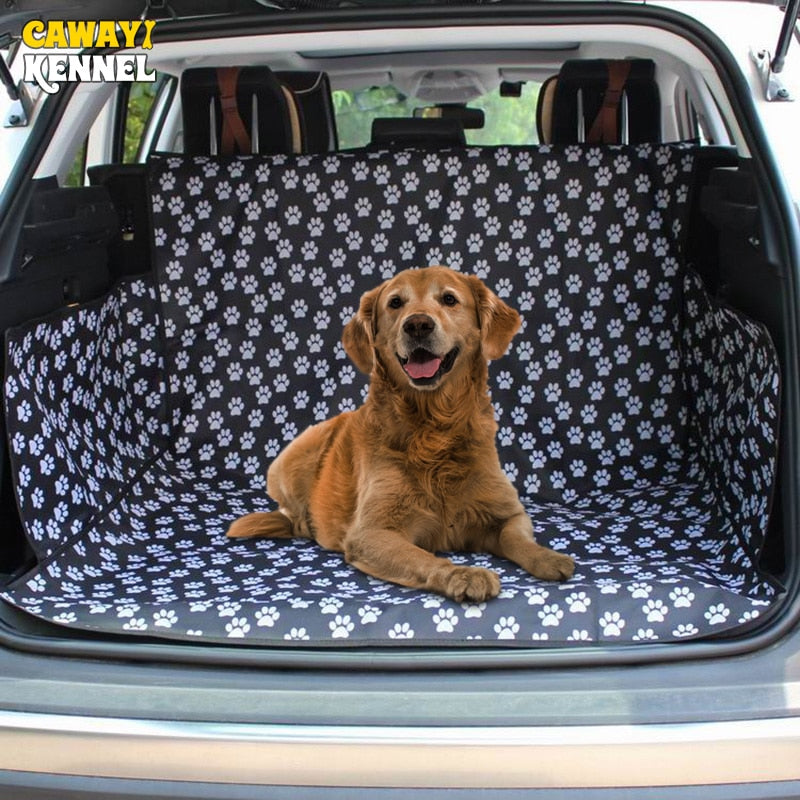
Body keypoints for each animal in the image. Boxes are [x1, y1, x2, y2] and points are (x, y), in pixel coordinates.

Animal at [227, 266, 576, 604]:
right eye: (395, 303)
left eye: (449, 299)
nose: (418, 324)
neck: (434, 427)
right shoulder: (372, 531)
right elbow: (424, 557)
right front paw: (463, 574)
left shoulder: (506, 513)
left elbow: (517, 537)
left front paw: (548, 557)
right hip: (292, 458)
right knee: (293, 514)